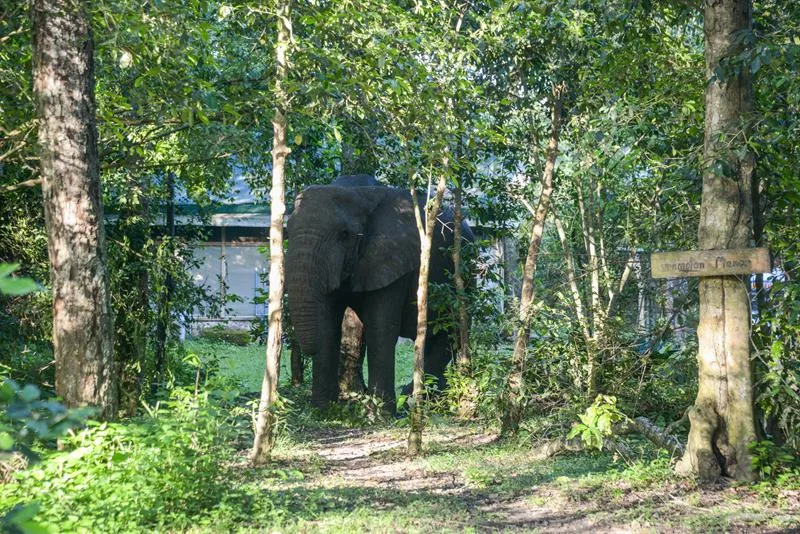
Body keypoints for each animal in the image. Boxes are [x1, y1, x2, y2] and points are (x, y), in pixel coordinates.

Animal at [286, 174, 473, 412]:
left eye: (344, 235)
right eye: (287, 231)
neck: (359, 193)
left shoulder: (393, 260)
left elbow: (380, 329)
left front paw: (380, 414)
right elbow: (328, 325)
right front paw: (322, 410)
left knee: (450, 331)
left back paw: (417, 399)